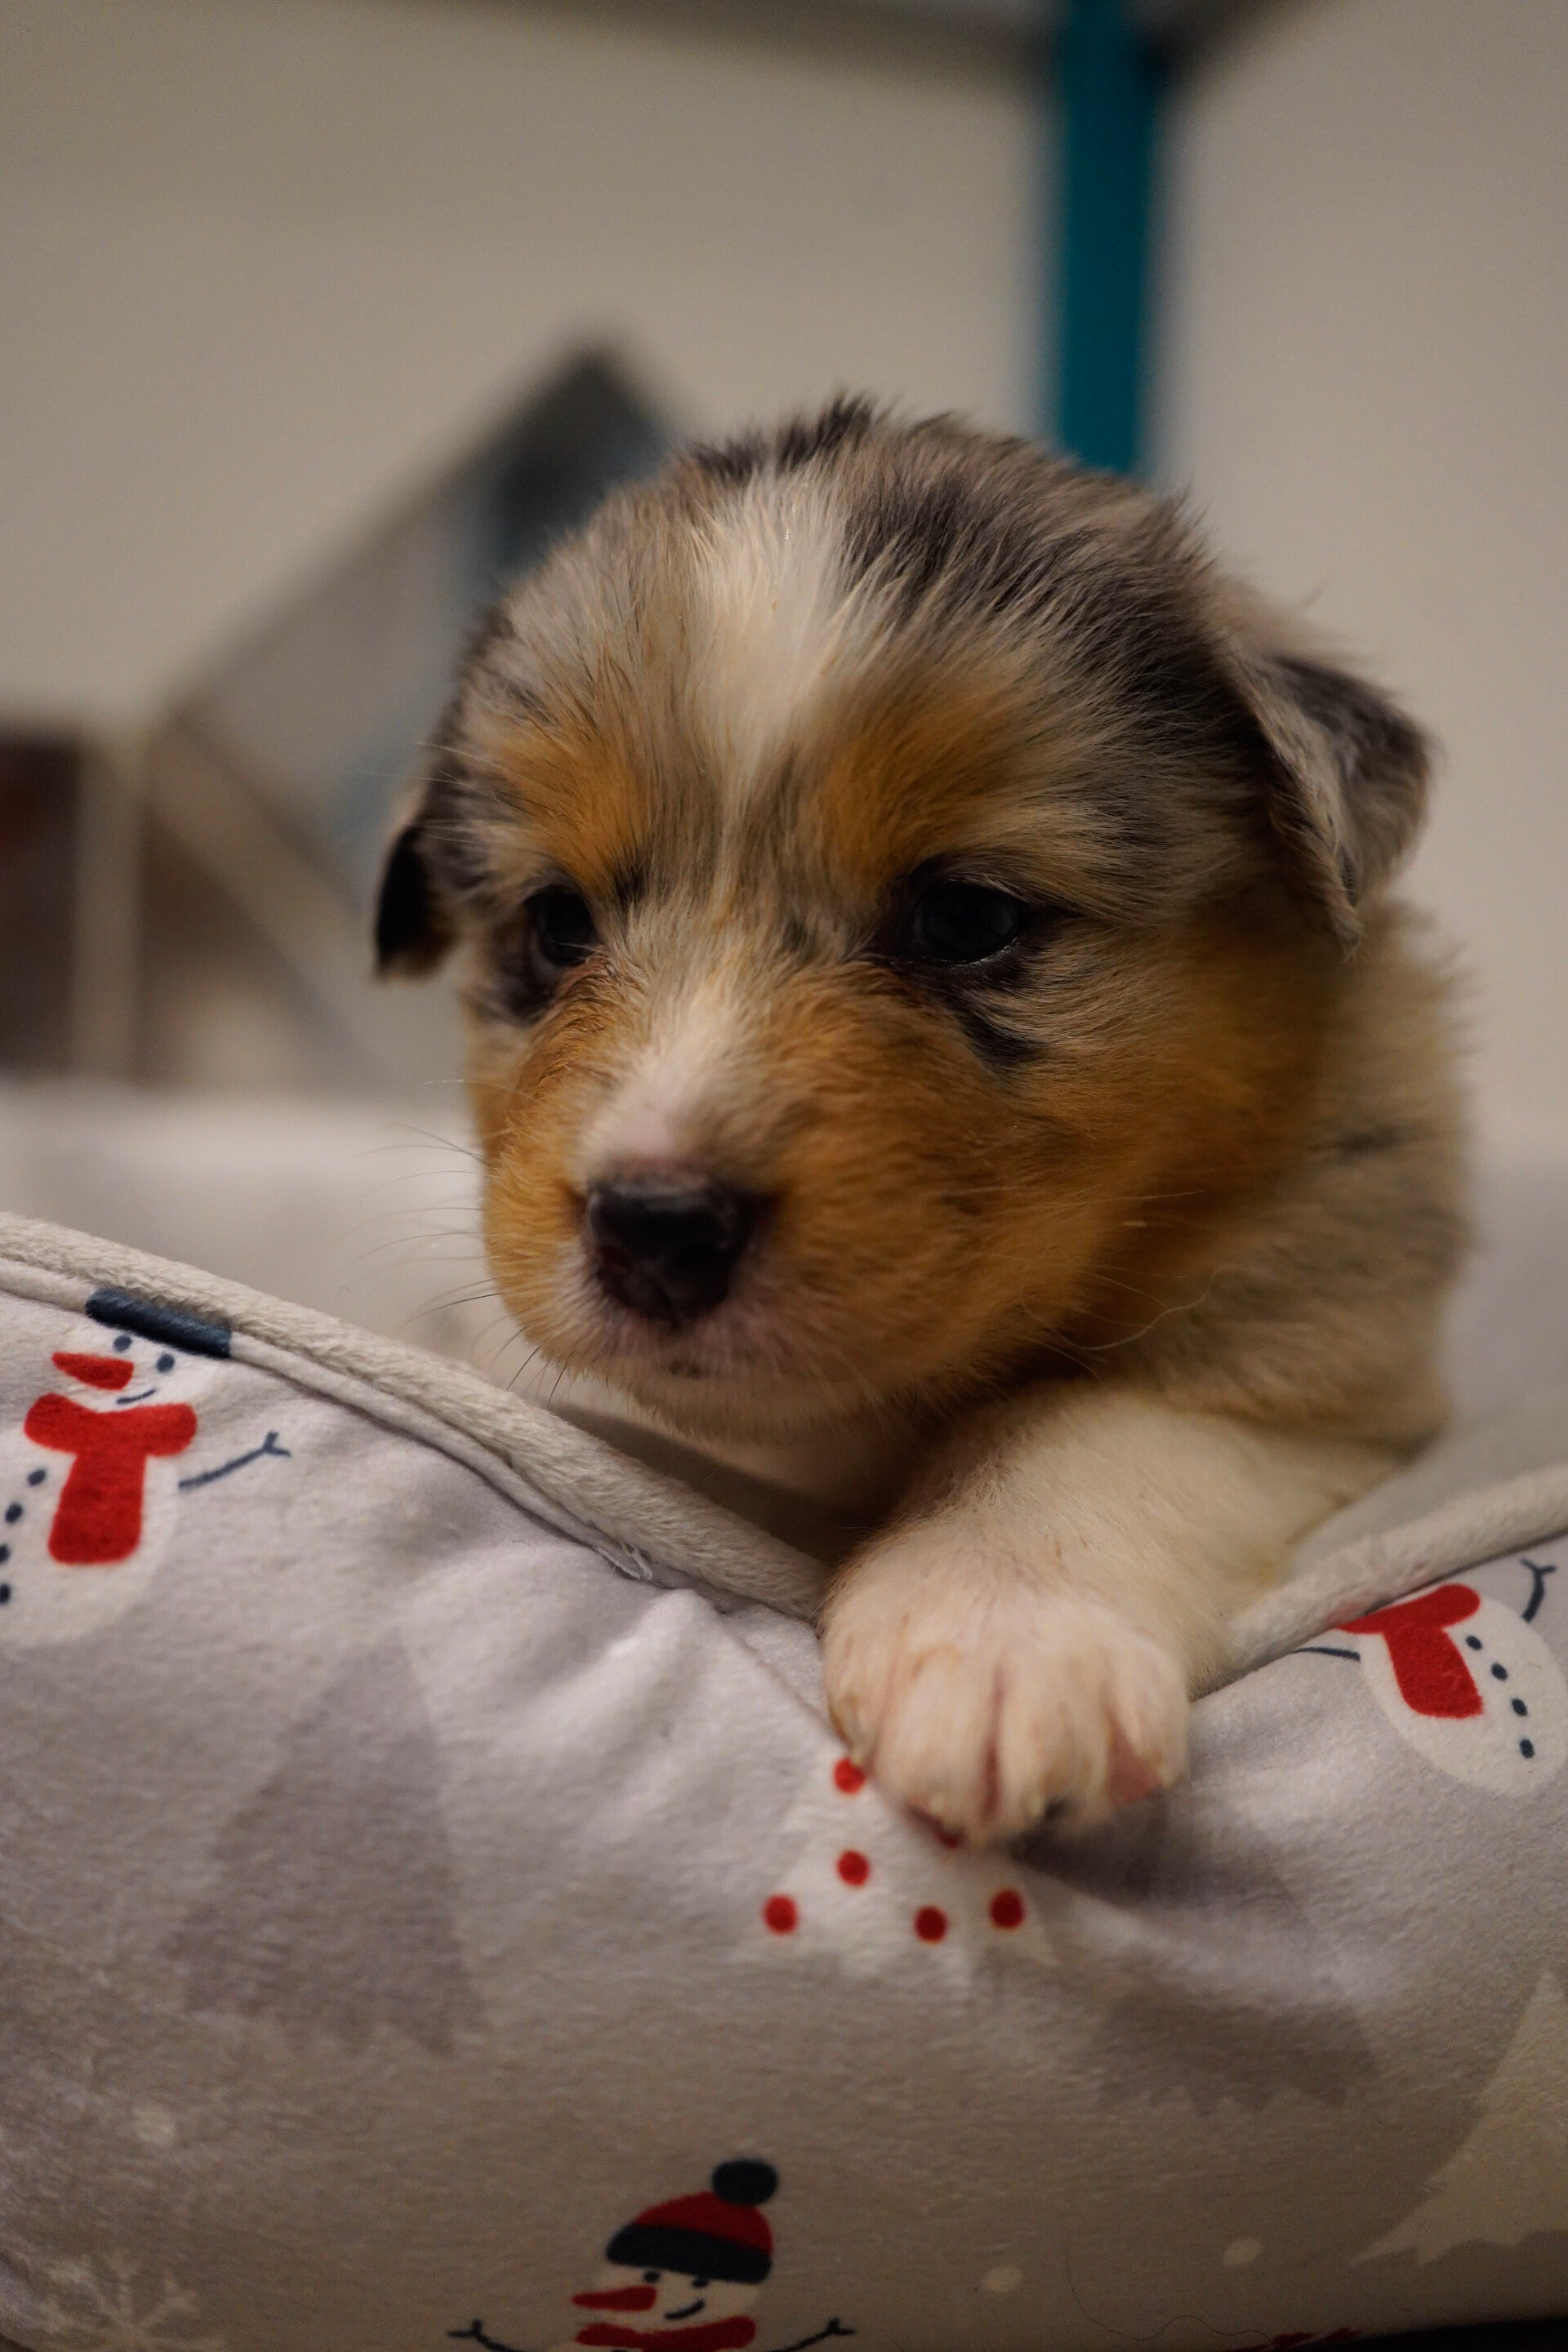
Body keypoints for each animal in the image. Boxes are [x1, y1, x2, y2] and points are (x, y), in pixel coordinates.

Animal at [376, 399, 1467, 1843]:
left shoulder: (1325, 1366)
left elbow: (1074, 1424)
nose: (653, 1230)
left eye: (964, 918)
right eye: (558, 926)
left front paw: (1000, 1645)